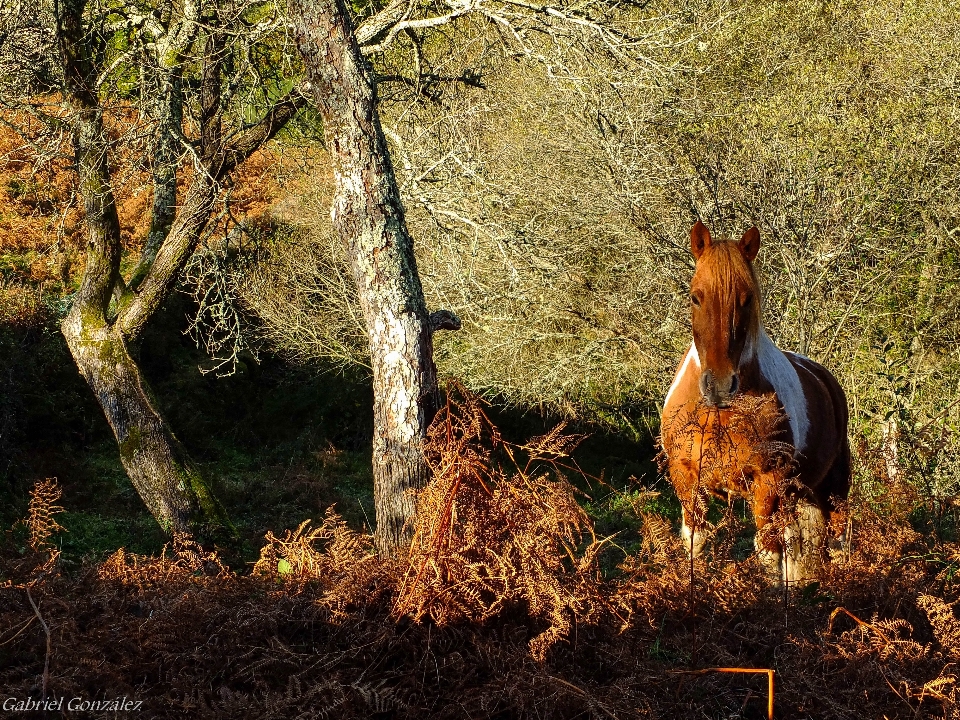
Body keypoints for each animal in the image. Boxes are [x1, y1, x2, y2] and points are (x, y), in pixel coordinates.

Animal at [656, 222, 852, 588]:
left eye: (746, 299)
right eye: (695, 296)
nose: (720, 385)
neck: (717, 414)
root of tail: (823, 375)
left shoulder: (768, 484)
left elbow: (768, 555)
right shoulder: (686, 477)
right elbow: (696, 541)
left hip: (832, 490)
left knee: (834, 542)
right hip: (798, 495)